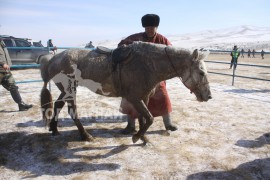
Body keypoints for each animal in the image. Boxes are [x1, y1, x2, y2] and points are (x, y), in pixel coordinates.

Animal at [40, 41, 212, 144]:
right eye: (201, 72)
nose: (208, 96)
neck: (148, 65)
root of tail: (53, 59)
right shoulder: (134, 97)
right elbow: (149, 118)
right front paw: (136, 137)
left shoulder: (144, 97)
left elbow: (144, 118)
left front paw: (143, 138)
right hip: (70, 89)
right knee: (72, 110)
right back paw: (85, 136)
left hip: (65, 90)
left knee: (58, 105)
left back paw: (54, 130)